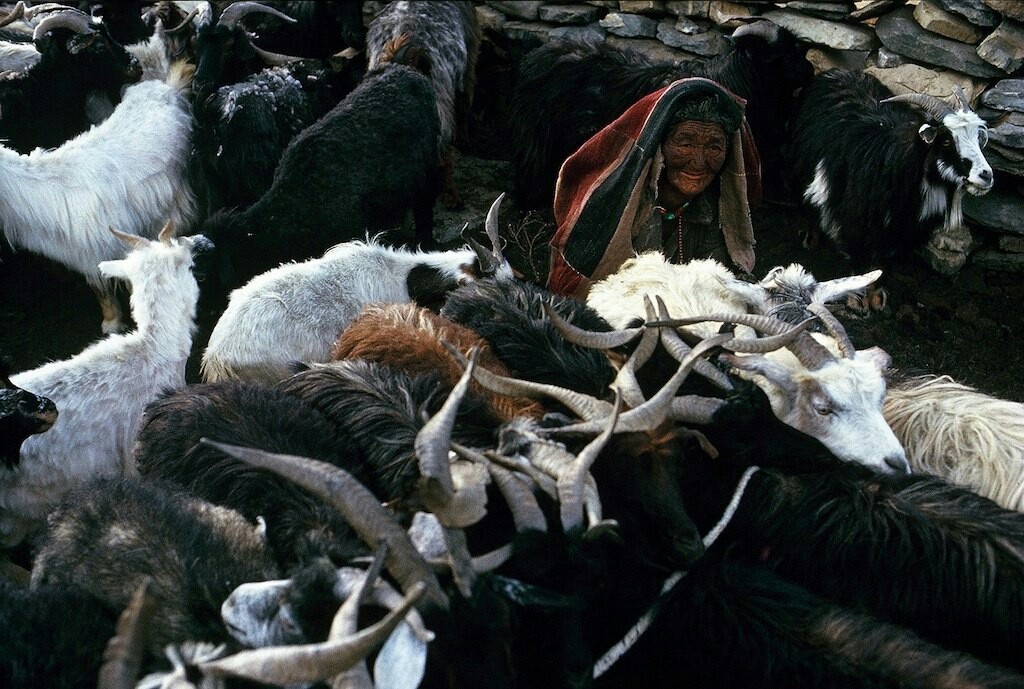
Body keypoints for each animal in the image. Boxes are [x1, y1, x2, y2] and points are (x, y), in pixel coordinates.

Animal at [790, 68, 991, 286]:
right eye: (946, 141)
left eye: (978, 138)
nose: (986, 176)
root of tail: (836, 71)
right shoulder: (853, 227)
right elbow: (859, 264)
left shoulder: (900, 235)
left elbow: (884, 268)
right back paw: (811, 239)